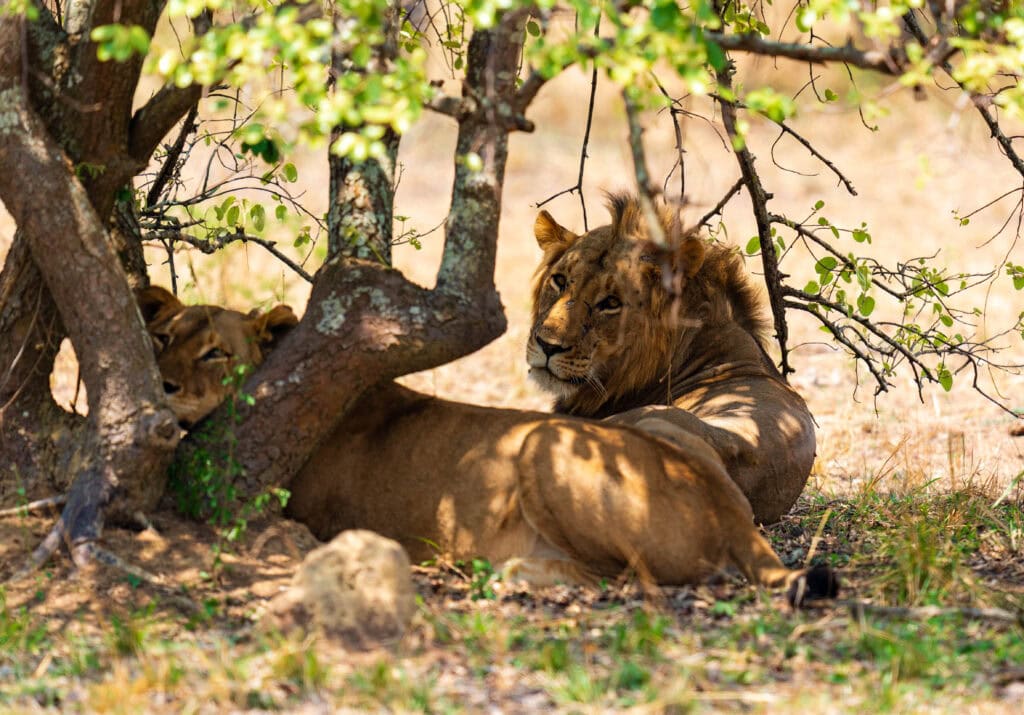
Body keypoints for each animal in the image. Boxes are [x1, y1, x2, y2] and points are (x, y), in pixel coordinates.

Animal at [138, 286, 836, 602]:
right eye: (163, 337)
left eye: (216, 353)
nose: (163, 385)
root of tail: (726, 508)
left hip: (542, 446)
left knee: (628, 582)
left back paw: (507, 572)